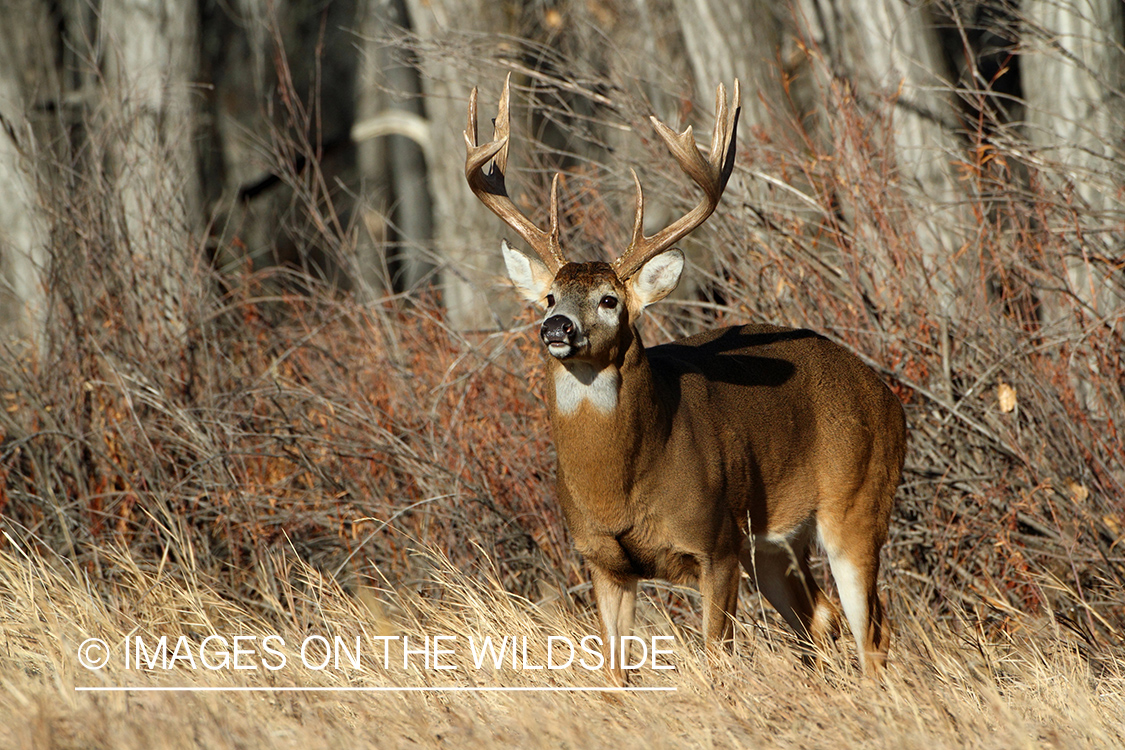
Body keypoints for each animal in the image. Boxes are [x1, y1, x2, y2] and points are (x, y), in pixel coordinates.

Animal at [461, 74, 909, 679]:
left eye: (609, 299)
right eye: (550, 296)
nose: (555, 326)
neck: (622, 485)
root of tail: (890, 398)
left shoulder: (715, 545)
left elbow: (717, 659)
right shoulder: (603, 560)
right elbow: (614, 674)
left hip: (857, 505)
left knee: (873, 629)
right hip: (774, 543)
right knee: (820, 617)